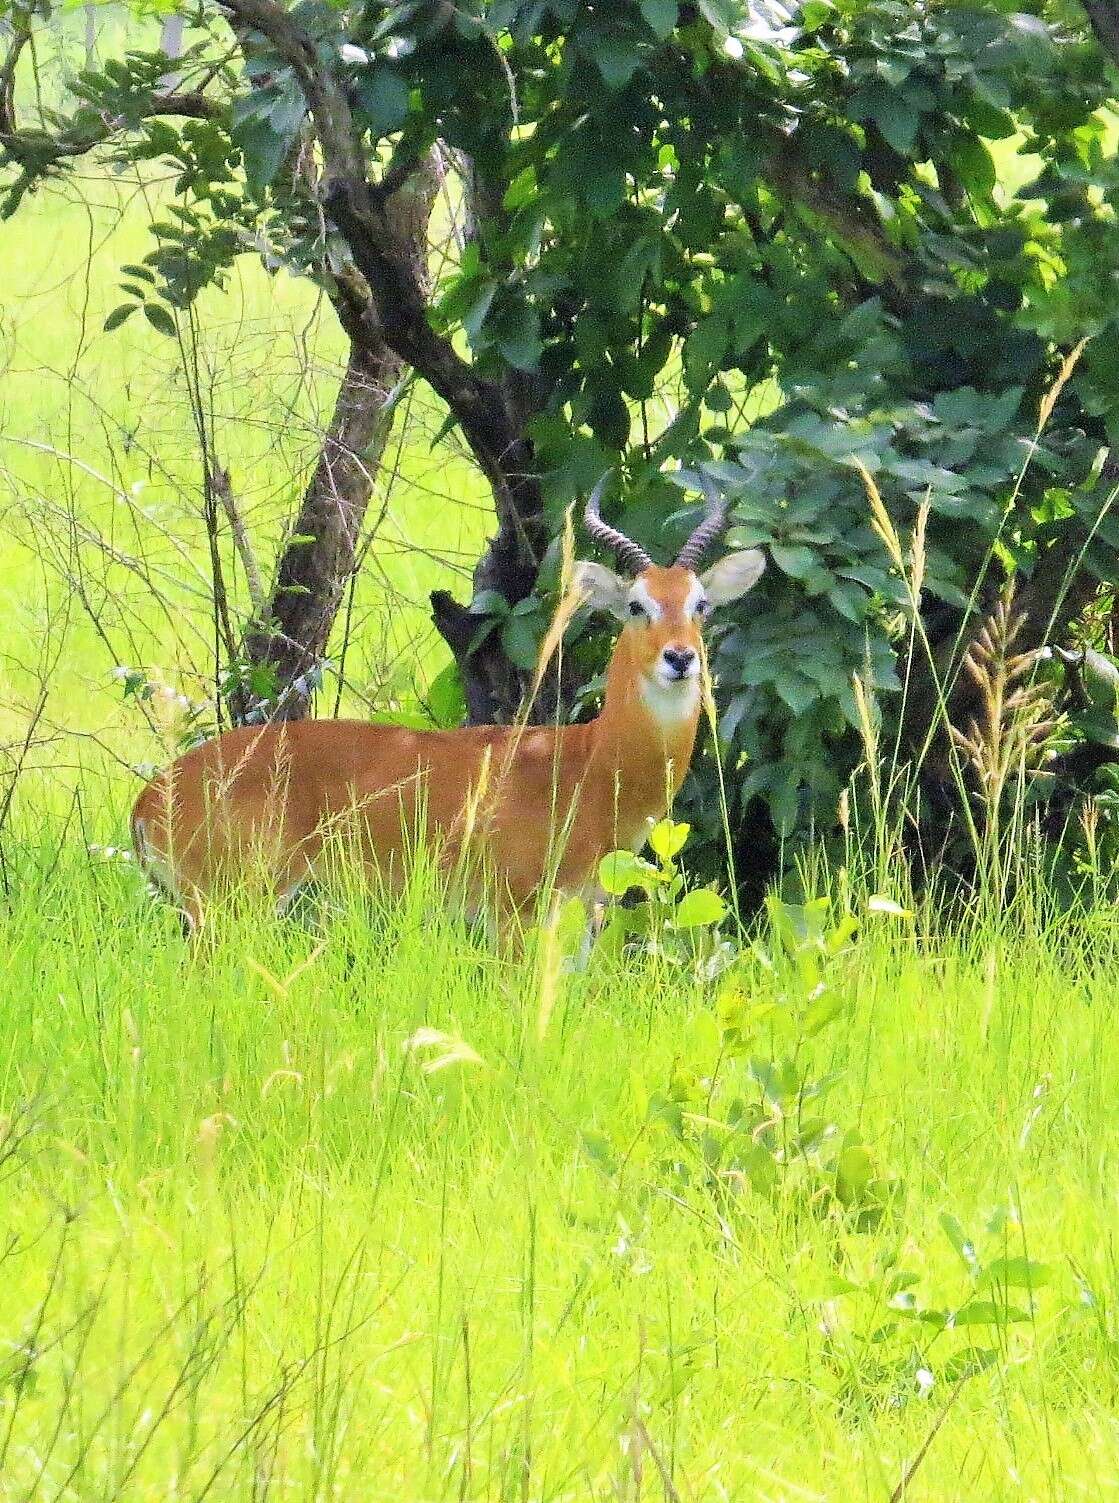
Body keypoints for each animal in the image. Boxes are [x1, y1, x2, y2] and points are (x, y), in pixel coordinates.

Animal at [128, 474, 760, 931]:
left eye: (700, 604)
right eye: (636, 605)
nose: (680, 658)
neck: (591, 766)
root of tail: (147, 800)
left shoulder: (582, 912)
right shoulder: (514, 911)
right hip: (228, 906)